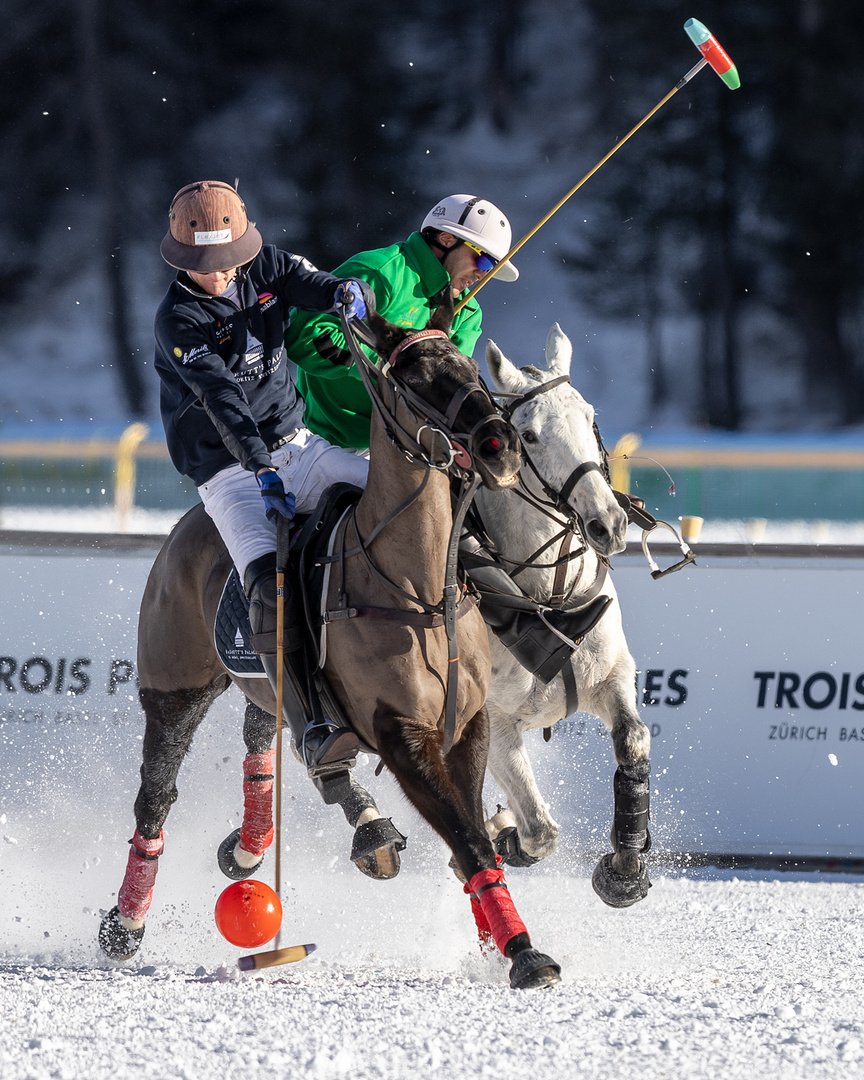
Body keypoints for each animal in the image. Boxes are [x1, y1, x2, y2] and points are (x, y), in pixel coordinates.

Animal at [101, 302, 561, 989]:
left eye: (467, 362)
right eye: (415, 379)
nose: (498, 447)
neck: (416, 588)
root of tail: (183, 528)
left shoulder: (467, 722)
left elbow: (471, 835)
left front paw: (494, 945)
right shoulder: (401, 732)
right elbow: (467, 837)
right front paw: (525, 954)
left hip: (268, 689)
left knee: (275, 742)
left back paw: (279, 842)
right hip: (174, 689)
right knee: (155, 798)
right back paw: (125, 925)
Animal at [473, 324, 656, 907]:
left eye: (589, 415)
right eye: (527, 435)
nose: (608, 525)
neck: (549, 605)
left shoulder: (613, 675)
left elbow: (632, 741)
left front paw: (623, 870)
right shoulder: (493, 723)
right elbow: (540, 832)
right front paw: (505, 833)